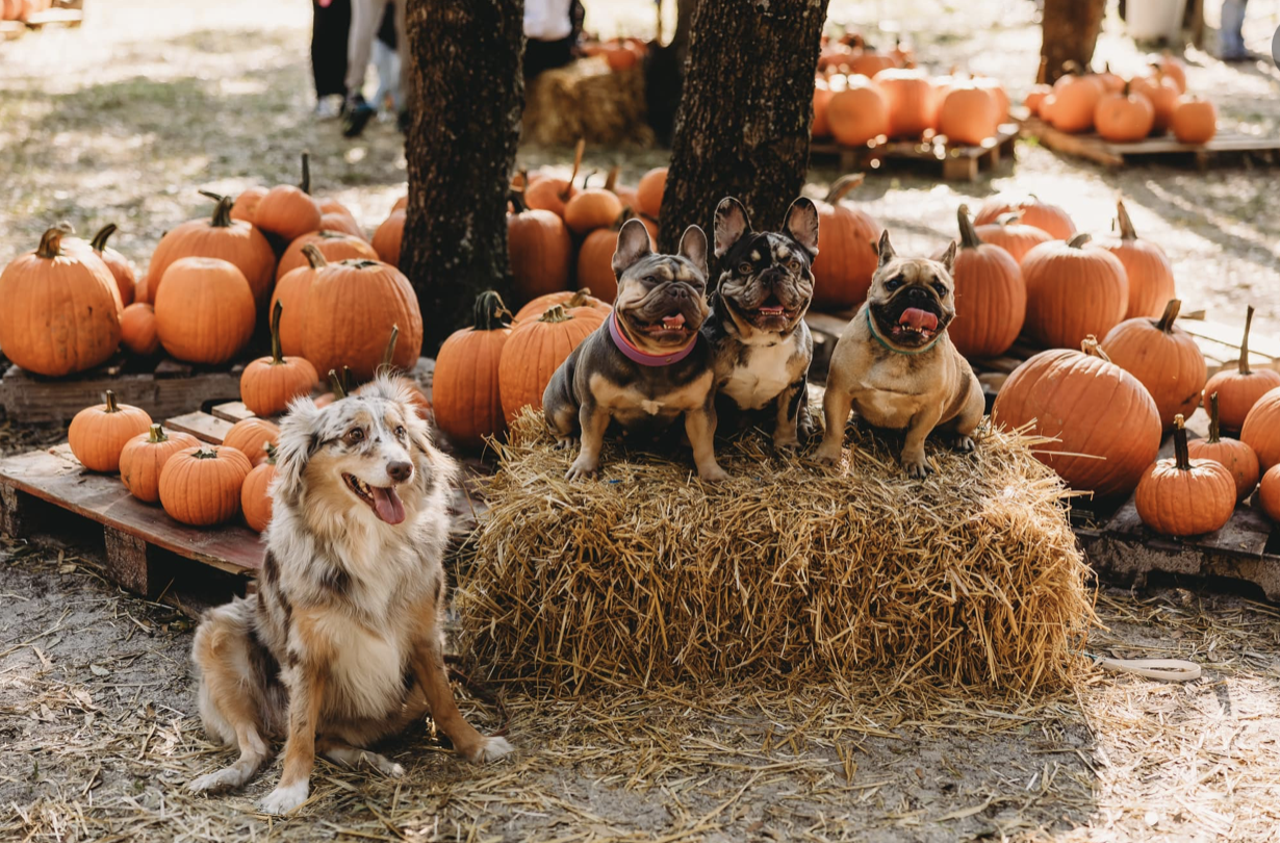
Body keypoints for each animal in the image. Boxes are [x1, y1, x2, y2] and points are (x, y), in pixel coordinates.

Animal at [186, 378, 514, 813]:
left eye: (400, 432)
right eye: (355, 434)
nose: (402, 469)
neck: (368, 539)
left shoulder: (425, 635)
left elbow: (446, 701)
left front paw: (476, 745)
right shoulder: (306, 653)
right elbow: (300, 728)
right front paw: (290, 790)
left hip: (405, 699)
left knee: (323, 740)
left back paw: (373, 761)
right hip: (219, 634)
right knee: (261, 745)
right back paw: (222, 778)